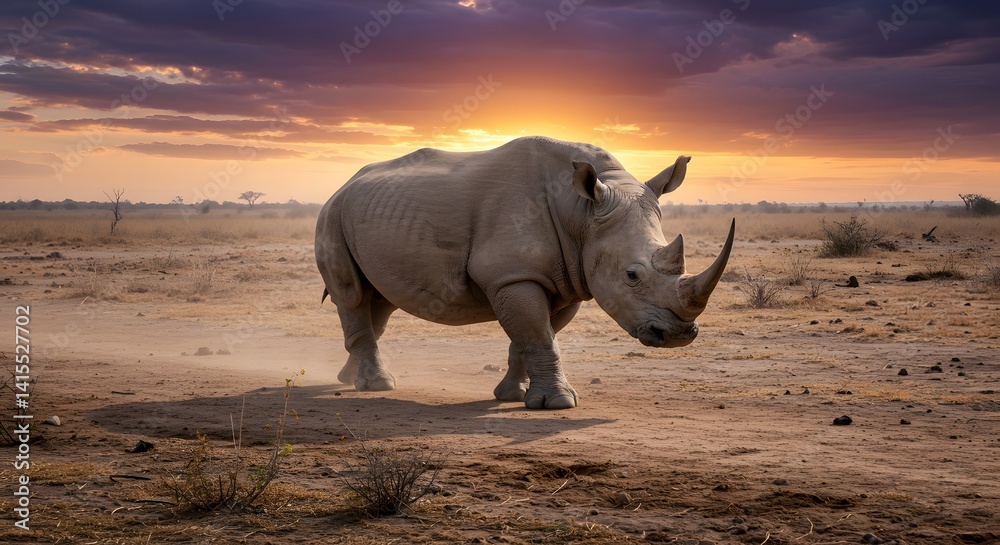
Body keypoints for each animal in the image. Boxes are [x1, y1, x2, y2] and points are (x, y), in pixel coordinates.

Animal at [316, 136, 734, 409]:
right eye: (632, 276)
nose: (679, 335)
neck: (582, 213)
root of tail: (345, 183)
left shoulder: (565, 279)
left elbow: (532, 335)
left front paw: (512, 396)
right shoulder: (514, 274)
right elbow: (537, 334)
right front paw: (559, 404)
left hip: (372, 214)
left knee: (379, 301)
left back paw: (348, 378)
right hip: (332, 213)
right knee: (352, 294)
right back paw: (375, 386)